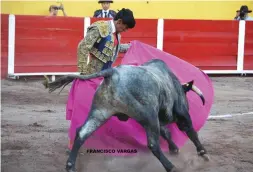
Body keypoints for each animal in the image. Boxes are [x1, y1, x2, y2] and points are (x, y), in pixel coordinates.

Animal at [44, 58, 210, 171]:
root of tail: (113, 73)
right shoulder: (181, 113)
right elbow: (190, 130)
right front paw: (203, 153)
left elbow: (167, 133)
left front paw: (174, 149)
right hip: (148, 116)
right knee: (153, 143)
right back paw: (171, 167)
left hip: (100, 112)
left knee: (82, 133)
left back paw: (70, 166)